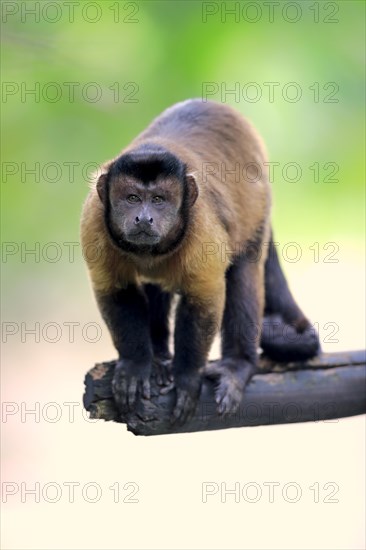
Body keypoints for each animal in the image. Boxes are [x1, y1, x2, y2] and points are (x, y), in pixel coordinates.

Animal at [81, 100, 320, 422]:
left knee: (243, 271)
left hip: (259, 209)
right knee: (156, 286)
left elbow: (204, 299)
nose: (144, 218)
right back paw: (159, 357)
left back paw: (238, 364)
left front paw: (186, 377)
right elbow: (117, 291)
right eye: (132, 198)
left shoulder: (202, 227)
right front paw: (136, 364)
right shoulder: (93, 220)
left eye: (159, 200)